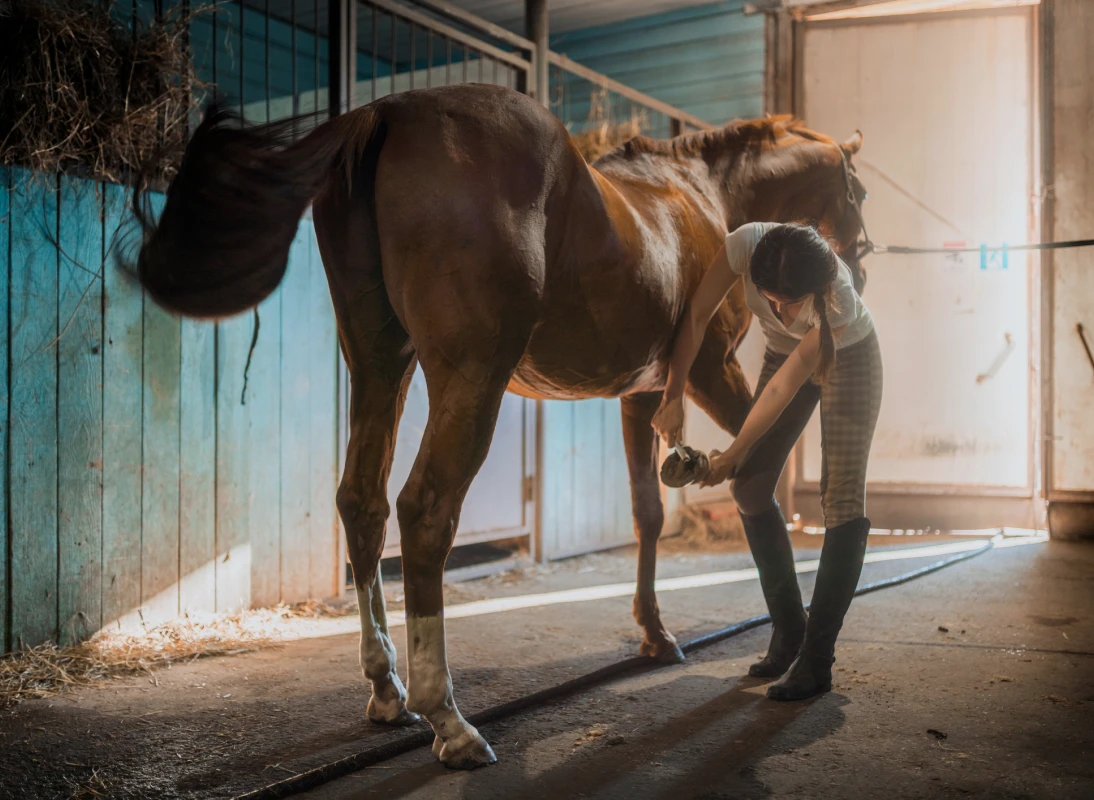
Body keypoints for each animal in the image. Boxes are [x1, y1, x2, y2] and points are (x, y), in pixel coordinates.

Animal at [137, 83, 867, 770]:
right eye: (857, 189)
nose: (858, 261)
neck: (698, 195)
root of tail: (385, 113)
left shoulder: (642, 395)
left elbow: (648, 513)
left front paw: (657, 635)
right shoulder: (712, 373)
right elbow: (757, 466)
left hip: (380, 361)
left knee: (363, 503)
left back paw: (387, 691)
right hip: (470, 376)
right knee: (425, 510)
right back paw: (451, 724)